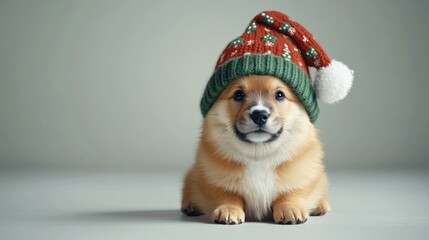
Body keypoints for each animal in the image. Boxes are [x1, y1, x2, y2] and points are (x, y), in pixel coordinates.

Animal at [180, 75, 328, 225]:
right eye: (238, 94)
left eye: (280, 95)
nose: (259, 115)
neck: (259, 155)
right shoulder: (214, 178)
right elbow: (227, 194)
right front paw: (228, 209)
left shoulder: (301, 177)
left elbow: (290, 193)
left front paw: (290, 208)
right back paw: (191, 207)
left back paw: (321, 206)